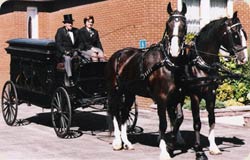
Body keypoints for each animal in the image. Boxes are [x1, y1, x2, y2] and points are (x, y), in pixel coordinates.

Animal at [106, 2, 188, 160]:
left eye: (184, 24)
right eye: (168, 24)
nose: (175, 50)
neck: (168, 63)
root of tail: (118, 55)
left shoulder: (178, 97)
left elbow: (178, 119)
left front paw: (172, 144)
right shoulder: (161, 99)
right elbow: (163, 123)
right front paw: (164, 150)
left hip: (129, 92)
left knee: (124, 113)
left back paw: (127, 142)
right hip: (115, 90)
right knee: (115, 112)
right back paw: (118, 142)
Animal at [172, 11, 248, 160]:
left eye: (244, 34)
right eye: (235, 35)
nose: (244, 59)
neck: (202, 63)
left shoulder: (211, 94)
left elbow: (212, 119)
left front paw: (213, 147)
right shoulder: (195, 96)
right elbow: (197, 122)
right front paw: (199, 150)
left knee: (178, 116)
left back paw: (178, 138)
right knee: (174, 116)